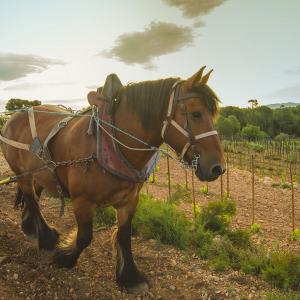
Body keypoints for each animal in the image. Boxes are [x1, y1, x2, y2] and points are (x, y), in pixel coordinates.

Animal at [0, 66, 225, 292]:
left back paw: (31, 228)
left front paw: (130, 277)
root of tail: (17, 114)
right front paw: (65, 257)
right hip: (20, 171)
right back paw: (45, 237)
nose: (218, 168)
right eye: (196, 113)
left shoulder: (129, 201)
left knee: (34, 197)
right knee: (31, 199)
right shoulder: (82, 201)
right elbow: (84, 237)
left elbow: (124, 236)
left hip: (39, 173)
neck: (113, 142)